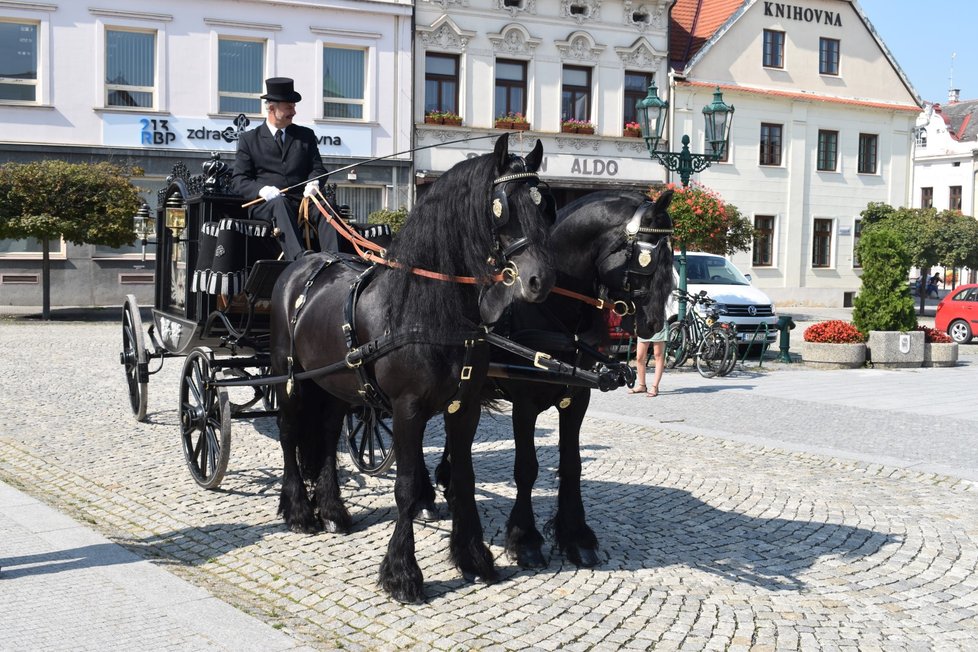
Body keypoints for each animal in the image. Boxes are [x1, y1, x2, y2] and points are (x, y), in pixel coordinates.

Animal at [266, 135, 556, 604]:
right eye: (501, 206)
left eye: (545, 202)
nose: (540, 280)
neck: (430, 310)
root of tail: (303, 262)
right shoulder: (407, 409)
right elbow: (404, 487)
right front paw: (402, 574)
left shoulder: (464, 408)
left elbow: (464, 480)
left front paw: (473, 558)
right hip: (290, 377)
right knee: (290, 434)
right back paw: (298, 511)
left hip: (334, 384)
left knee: (326, 436)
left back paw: (333, 509)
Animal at [434, 187, 672, 564]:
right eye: (648, 258)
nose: (654, 324)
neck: (554, 310)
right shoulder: (524, 403)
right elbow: (526, 467)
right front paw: (525, 538)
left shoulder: (577, 397)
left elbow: (572, 463)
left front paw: (576, 536)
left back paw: (450, 484)